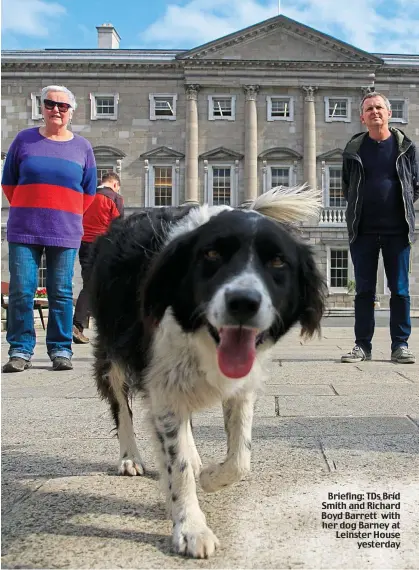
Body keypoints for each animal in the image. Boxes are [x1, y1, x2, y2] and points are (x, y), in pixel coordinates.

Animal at [90, 186, 328, 556]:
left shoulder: (241, 388)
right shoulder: (163, 385)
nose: (243, 302)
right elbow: (178, 464)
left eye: (277, 262)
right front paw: (191, 528)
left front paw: (210, 478)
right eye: (212, 254)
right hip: (112, 350)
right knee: (121, 408)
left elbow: (240, 458)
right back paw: (130, 457)